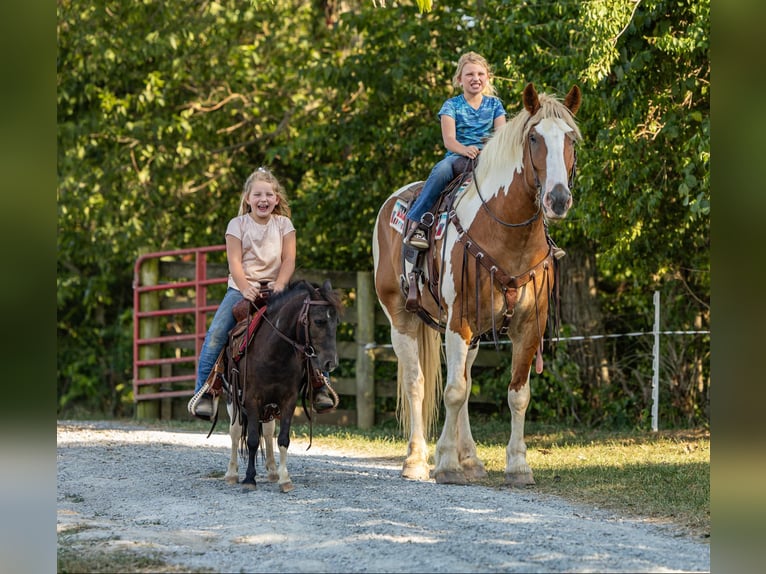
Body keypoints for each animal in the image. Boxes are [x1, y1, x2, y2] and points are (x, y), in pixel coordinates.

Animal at [222, 282, 342, 492]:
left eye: (336, 322)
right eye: (319, 321)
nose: (331, 363)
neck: (274, 353)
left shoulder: (288, 400)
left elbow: (283, 439)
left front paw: (284, 479)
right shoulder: (252, 399)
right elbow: (252, 440)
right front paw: (249, 479)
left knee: (268, 431)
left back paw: (272, 471)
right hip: (233, 398)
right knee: (235, 432)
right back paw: (231, 473)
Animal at [372, 83, 584, 488]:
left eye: (571, 139)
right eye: (534, 138)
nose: (558, 199)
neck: (506, 234)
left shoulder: (528, 326)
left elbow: (516, 394)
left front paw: (517, 466)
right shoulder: (460, 321)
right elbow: (452, 391)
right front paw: (446, 464)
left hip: (474, 334)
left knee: (466, 381)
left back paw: (470, 459)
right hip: (401, 318)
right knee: (417, 383)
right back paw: (416, 460)